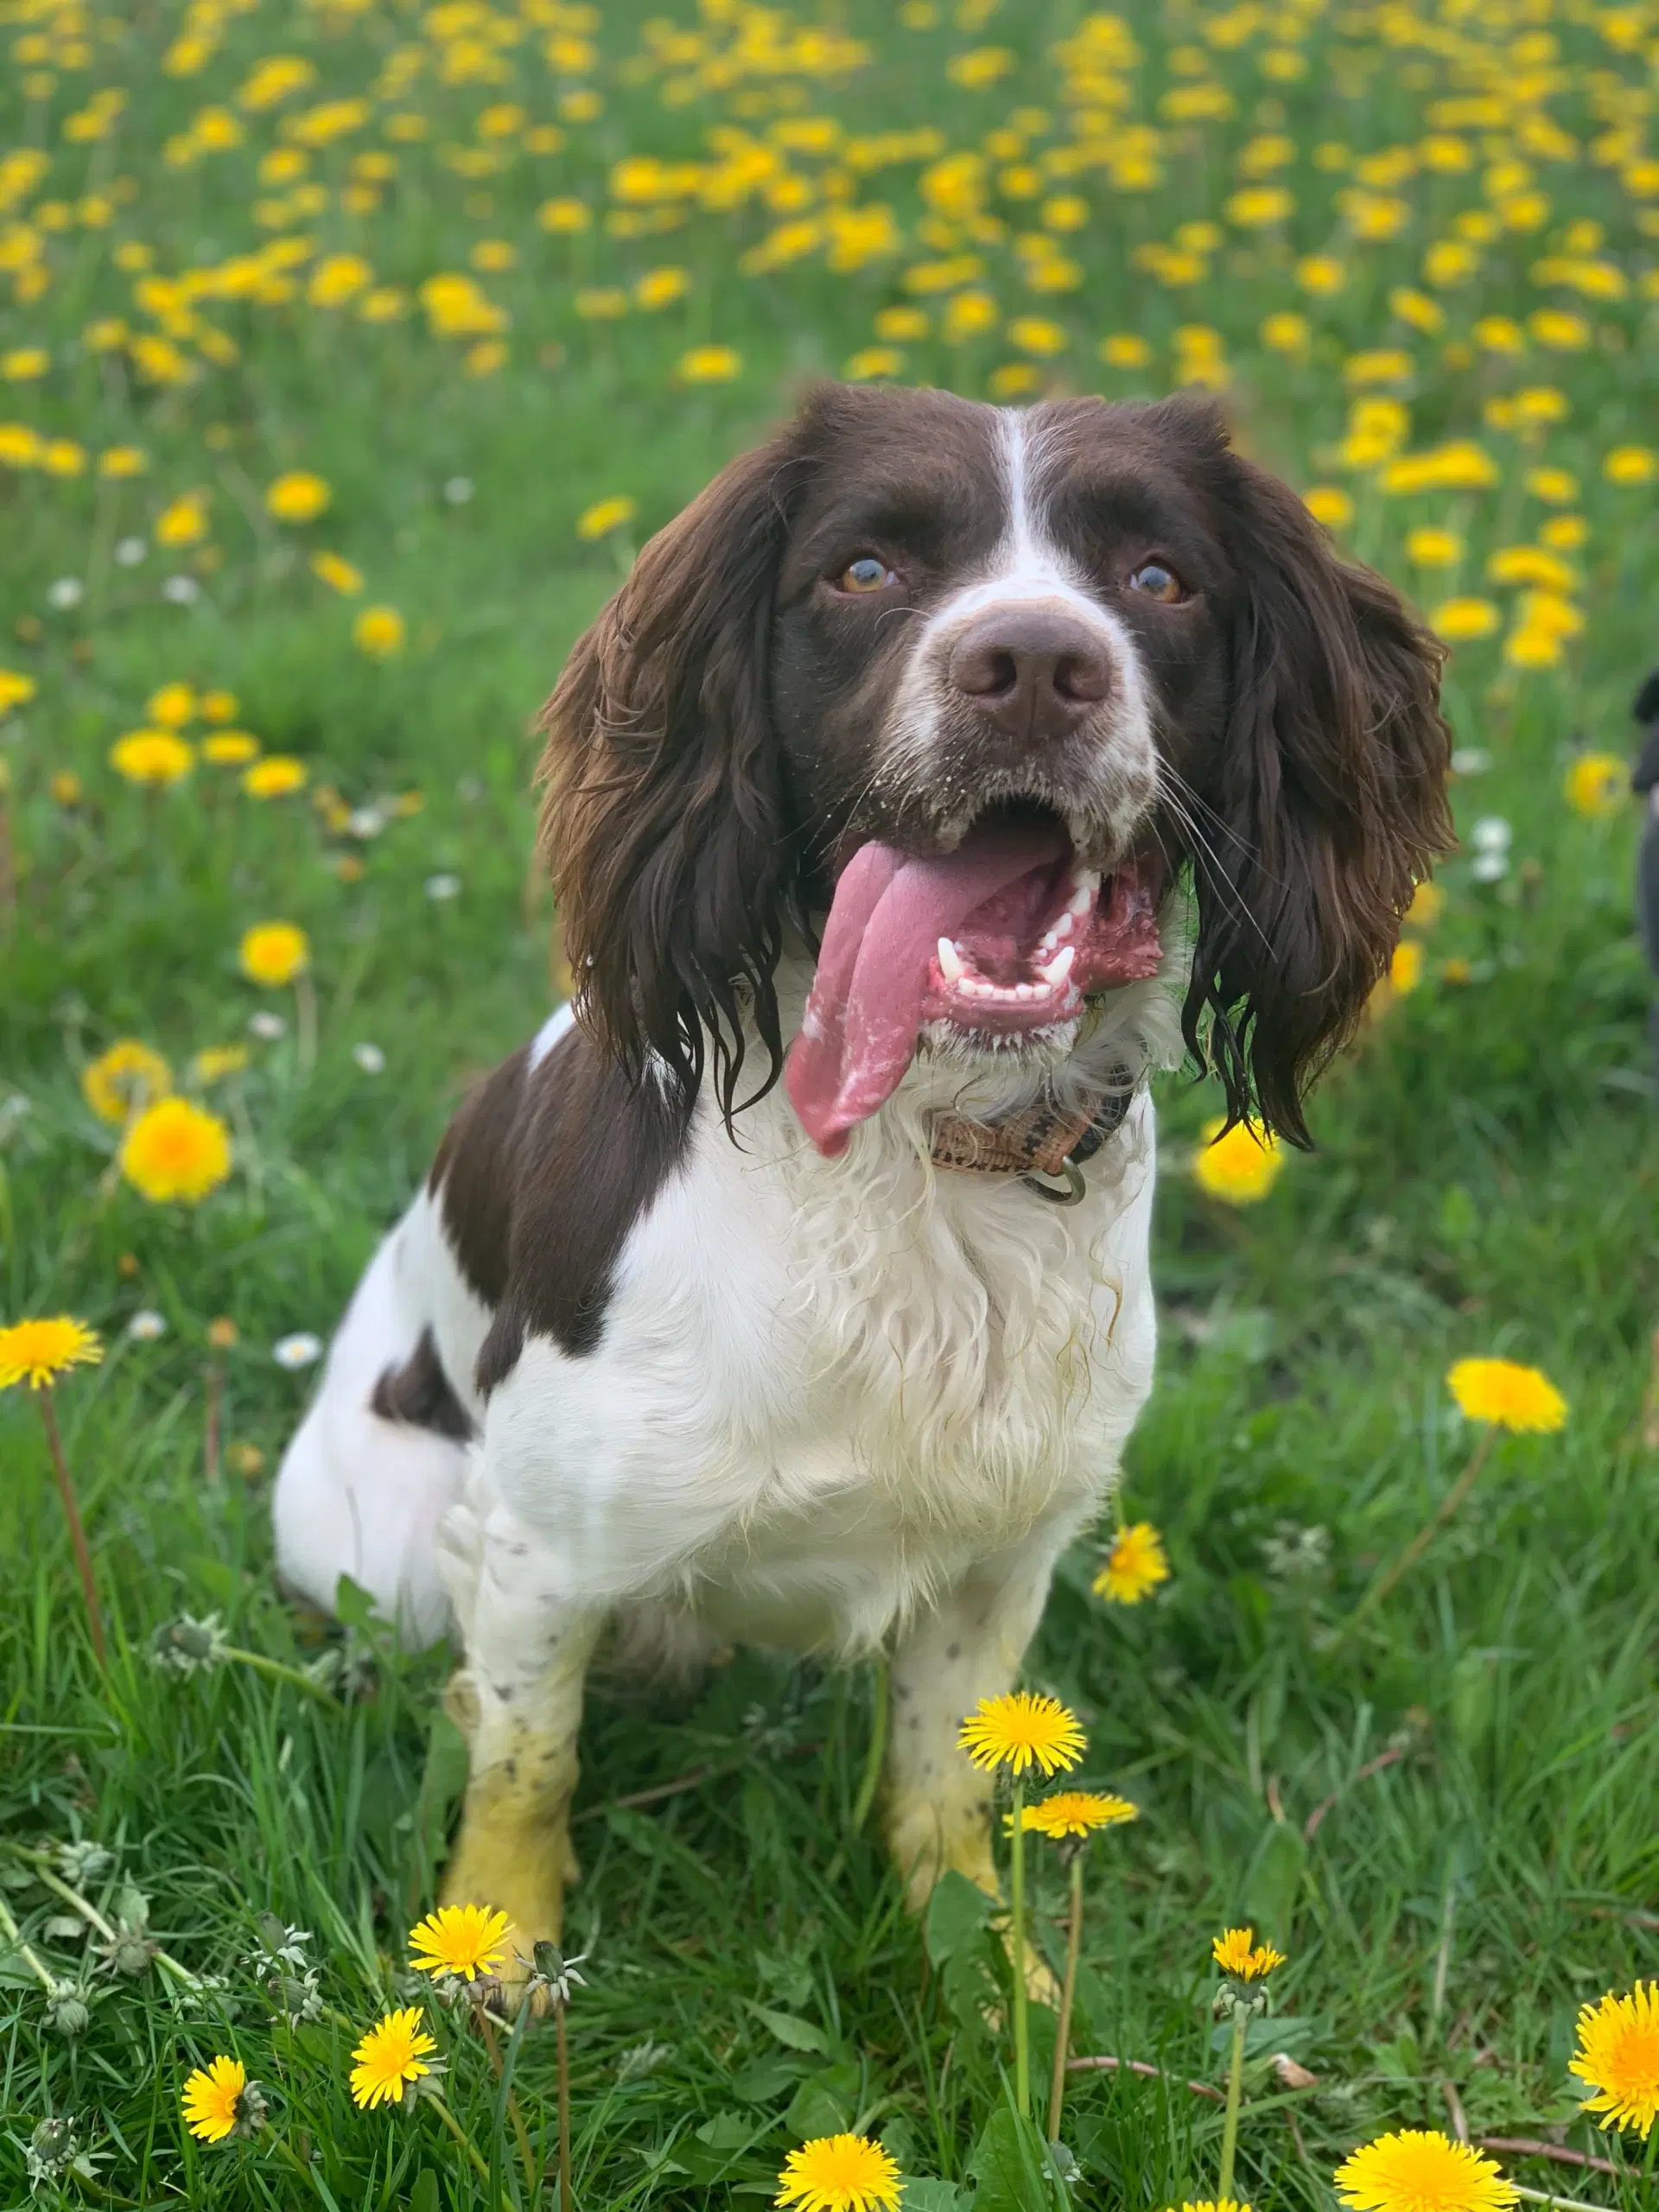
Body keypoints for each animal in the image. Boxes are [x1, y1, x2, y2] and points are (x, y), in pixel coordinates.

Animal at [276, 380, 1451, 1955]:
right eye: (865, 569)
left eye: (1159, 579)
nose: (1036, 666)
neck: (927, 1154)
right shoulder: (537, 1549)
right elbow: (527, 1761)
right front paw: (496, 1951)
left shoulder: (1004, 1556)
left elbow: (947, 1785)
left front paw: (986, 1962)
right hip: (385, 1544)